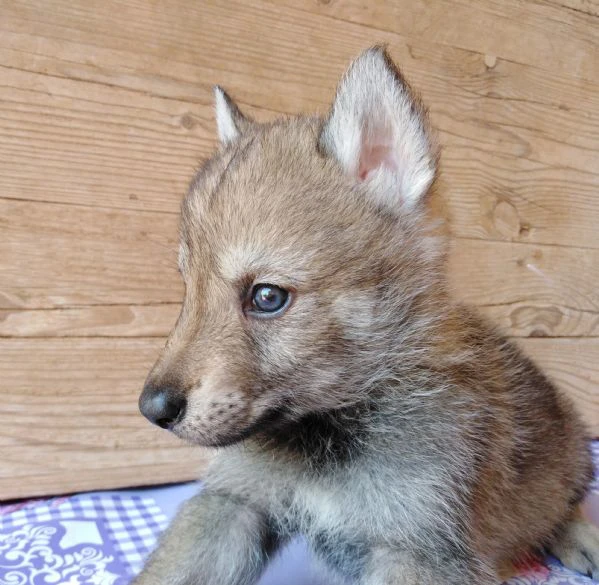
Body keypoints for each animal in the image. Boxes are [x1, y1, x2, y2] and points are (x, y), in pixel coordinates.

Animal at [136, 46, 599, 584]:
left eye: (267, 297)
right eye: (188, 288)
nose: (153, 409)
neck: (329, 436)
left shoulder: (418, 550)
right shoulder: (234, 502)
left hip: (571, 457)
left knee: (563, 507)